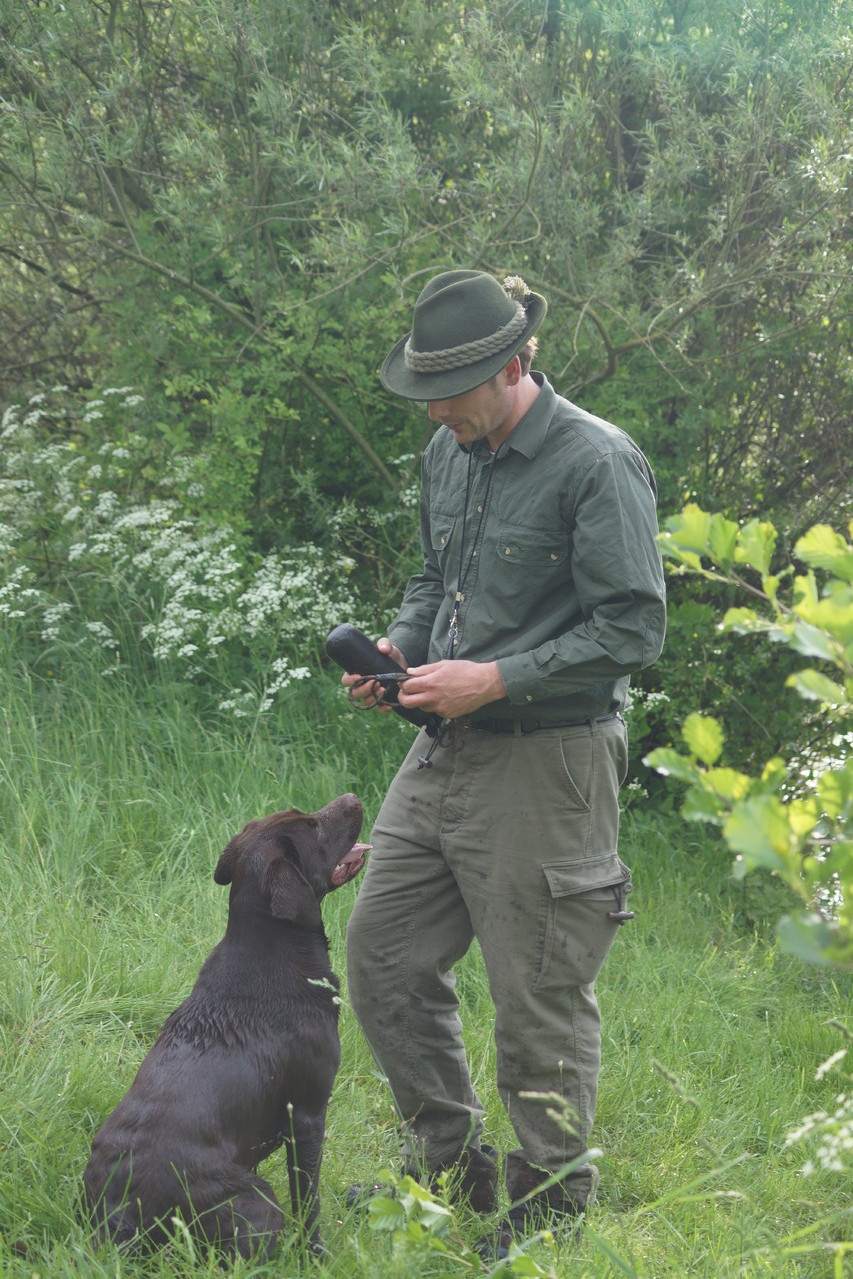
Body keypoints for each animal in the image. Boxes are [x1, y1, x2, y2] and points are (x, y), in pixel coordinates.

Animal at [80, 792, 370, 1253]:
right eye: (313, 827)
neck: (269, 947)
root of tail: (120, 1215)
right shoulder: (307, 1115)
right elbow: (308, 1199)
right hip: (258, 1204)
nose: (353, 798)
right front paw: (317, 1254)